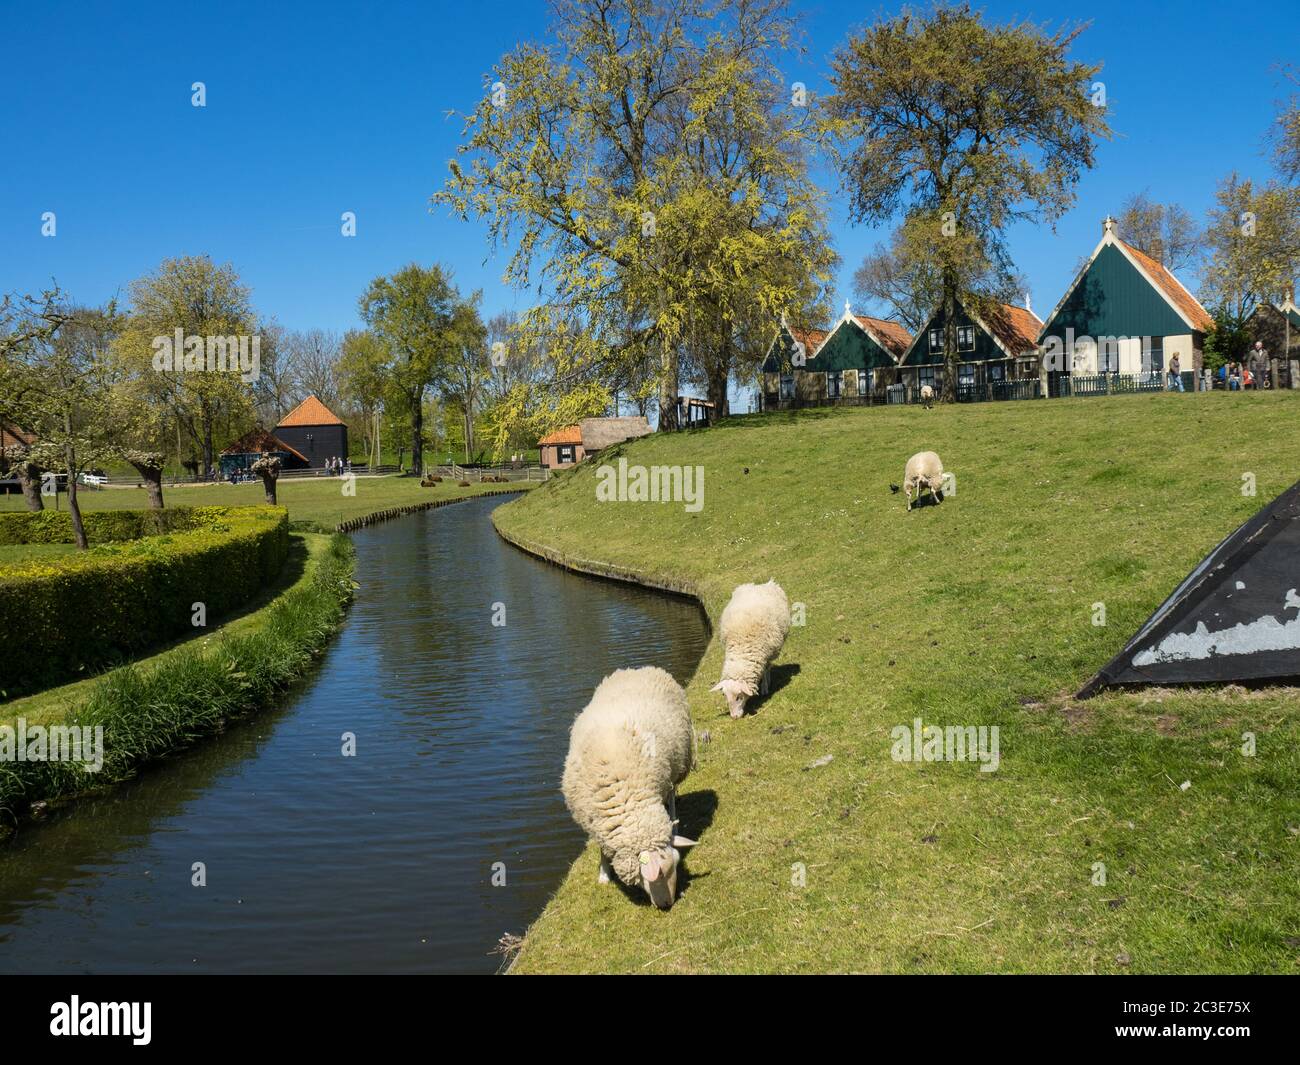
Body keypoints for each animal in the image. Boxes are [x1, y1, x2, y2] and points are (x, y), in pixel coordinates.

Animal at [561, 666, 698, 909]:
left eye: (677, 864)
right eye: (659, 874)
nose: (668, 904)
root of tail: (640, 668)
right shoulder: (596, 822)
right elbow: (603, 849)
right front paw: (604, 874)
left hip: (676, 764)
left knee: (672, 794)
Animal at [711, 580, 791, 718]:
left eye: (739, 697)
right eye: (725, 696)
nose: (734, 717)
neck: (742, 647)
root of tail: (763, 584)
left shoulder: (767, 654)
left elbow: (766, 669)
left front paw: (764, 687)